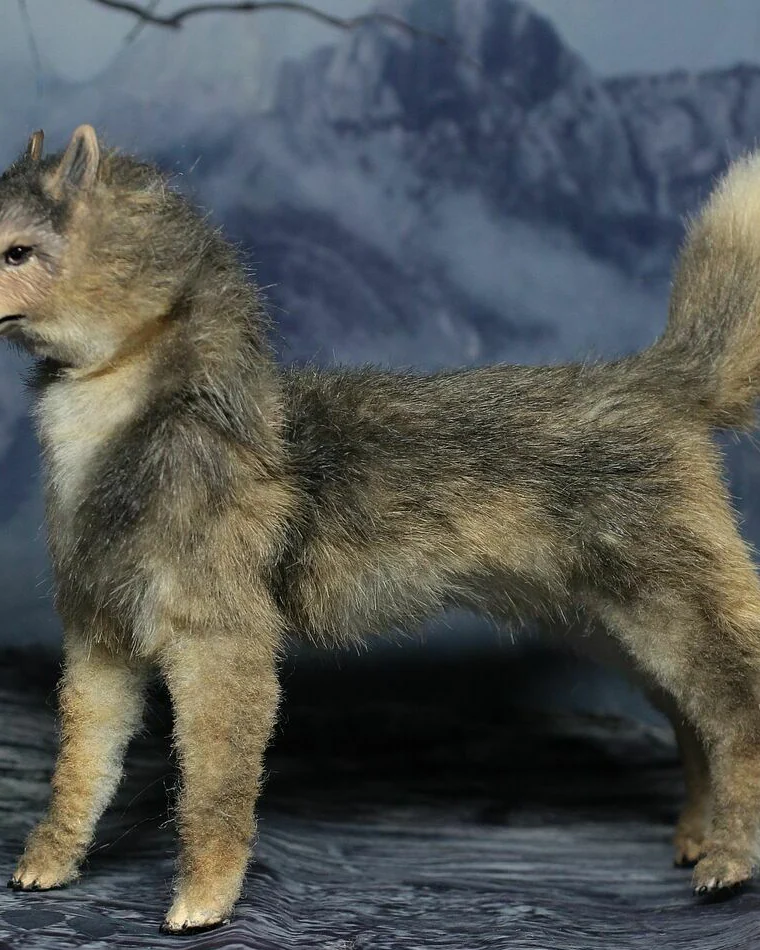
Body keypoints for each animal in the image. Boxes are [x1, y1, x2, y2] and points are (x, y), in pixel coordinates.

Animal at [1, 125, 760, 933]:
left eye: (17, 251)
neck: (138, 431)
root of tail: (659, 381)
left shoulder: (222, 647)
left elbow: (214, 786)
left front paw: (203, 900)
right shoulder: (99, 640)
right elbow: (81, 769)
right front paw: (49, 863)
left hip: (678, 616)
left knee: (737, 719)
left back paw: (727, 858)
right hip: (616, 629)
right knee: (693, 727)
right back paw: (695, 834)